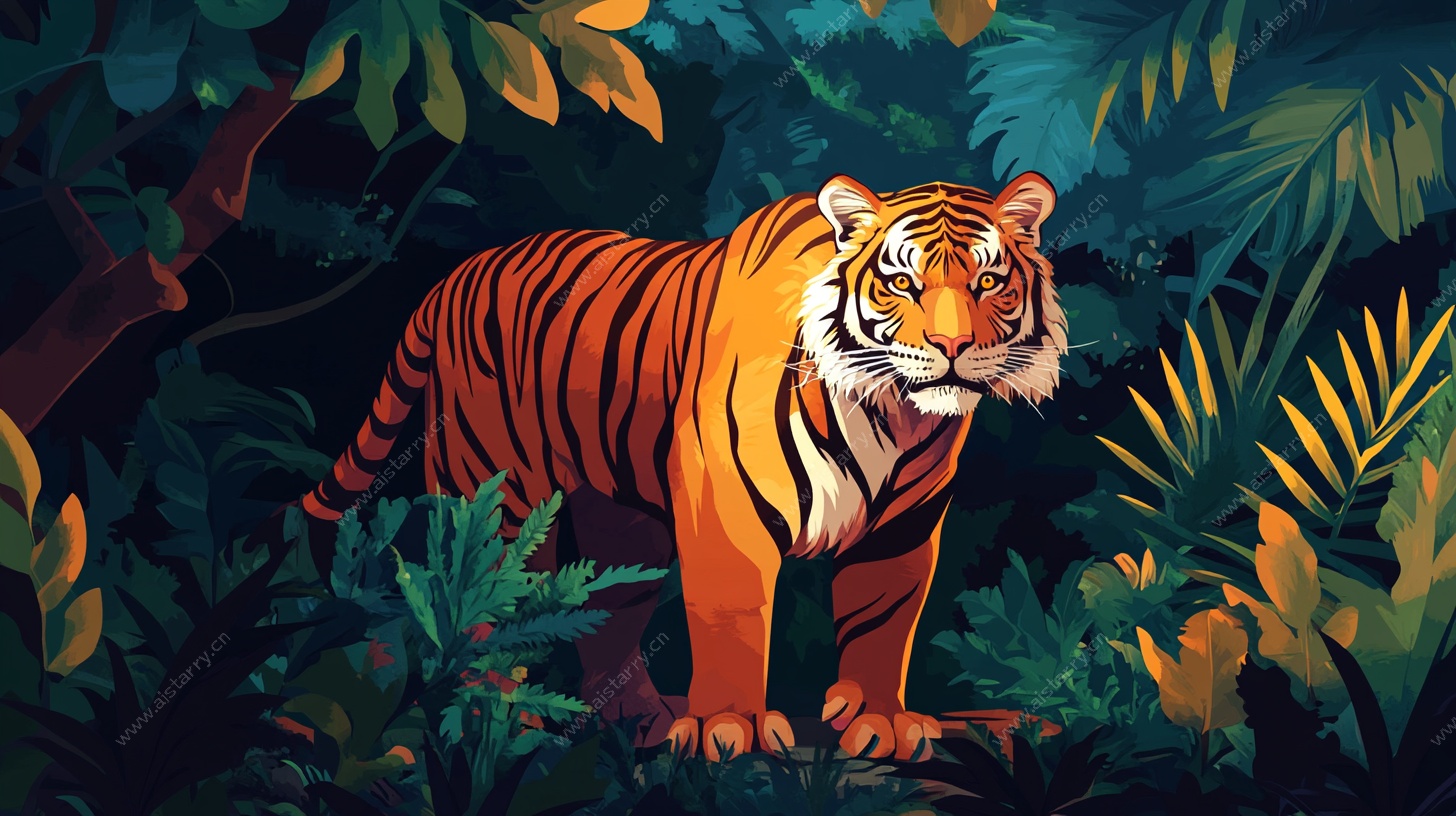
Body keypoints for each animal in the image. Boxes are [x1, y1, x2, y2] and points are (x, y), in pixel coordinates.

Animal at [300, 172, 1067, 761]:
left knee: (610, 617)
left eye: (989, 281)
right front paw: (729, 727)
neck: (892, 415)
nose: (952, 346)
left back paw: (640, 718)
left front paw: (880, 723)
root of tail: (452, 277)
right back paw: (502, 709)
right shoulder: (726, 505)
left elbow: (884, 621)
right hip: (494, 492)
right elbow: (733, 616)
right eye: (902, 283)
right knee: (483, 603)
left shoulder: (903, 526)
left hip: (622, 522)